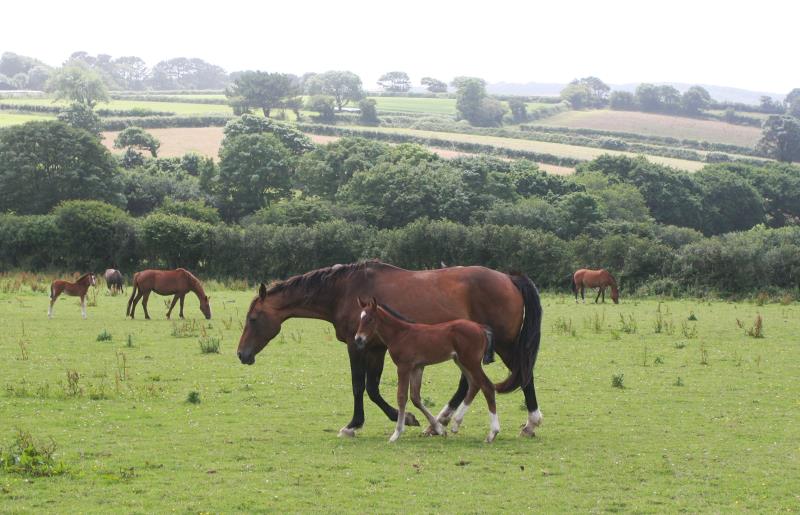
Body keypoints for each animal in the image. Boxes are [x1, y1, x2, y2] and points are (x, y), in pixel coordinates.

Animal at [356, 296, 500, 446]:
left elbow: (401, 397)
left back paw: (492, 433)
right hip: (461, 361)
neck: (400, 334)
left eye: (370, 319)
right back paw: (456, 424)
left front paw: (396, 433)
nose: (358, 339)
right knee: (474, 384)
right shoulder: (417, 367)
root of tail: (479, 327)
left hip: (471, 362)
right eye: (360, 318)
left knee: (487, 386)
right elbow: (415, 398)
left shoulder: (404, 367)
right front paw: (440, 429)